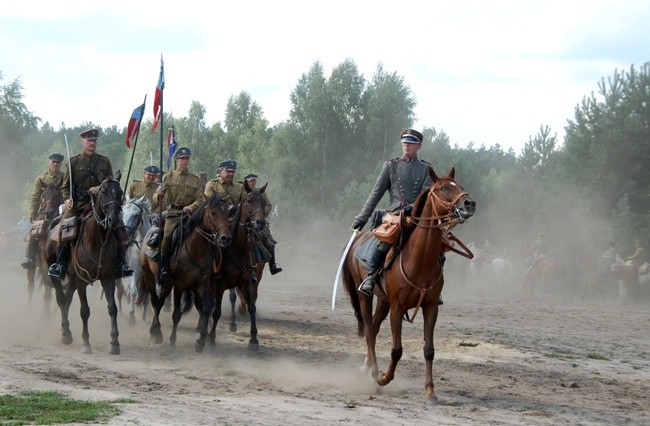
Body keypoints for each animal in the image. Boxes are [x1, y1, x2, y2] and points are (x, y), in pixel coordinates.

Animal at [45, 171, 125, 354]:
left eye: (120, 192)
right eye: (103, 192)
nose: (114, 220)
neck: (98, 238)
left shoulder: (108, 278)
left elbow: (112, 308)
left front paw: (114, 342)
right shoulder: (81, 280)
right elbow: (85, 310)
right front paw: (86, 343)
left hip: (72, 277)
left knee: (67, 299)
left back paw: (64, 330)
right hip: (56, 274)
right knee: (60, 298)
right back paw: (67, 333)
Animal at [139, 195, 233, 352]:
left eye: (227, 213)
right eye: (213, 213)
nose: (226, 238)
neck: (196, 250)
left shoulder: (203, 285)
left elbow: (206, 308)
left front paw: (200, 341)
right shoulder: (179, 285)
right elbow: (176, 314)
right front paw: (172, 341)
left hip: (167, 283)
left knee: (161, 302)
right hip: (150, 277)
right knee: (155, 302)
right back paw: (156, 333)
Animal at [209, 181, 268, 352]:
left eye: (263, 201)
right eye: (248, 200)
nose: (260, 222)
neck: (236, 248)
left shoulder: (247, 282)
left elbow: (252, 306)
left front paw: (254, 339)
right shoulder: (221, 284)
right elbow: (218, 310)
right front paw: (212, 337)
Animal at [340, 167, 476, 402]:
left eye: (459, 185)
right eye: (443, 188)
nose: (469, 204)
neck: (419, 258)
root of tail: (358, 240)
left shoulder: (430, 307)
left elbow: (429, 350)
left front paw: (430, 390)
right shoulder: (397, 307)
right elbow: (397, 349)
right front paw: (384, 377)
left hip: (383, 300)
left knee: (374, 328)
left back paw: (367, 368)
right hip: (365, 296)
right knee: (369, 330)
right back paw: (374, 371)